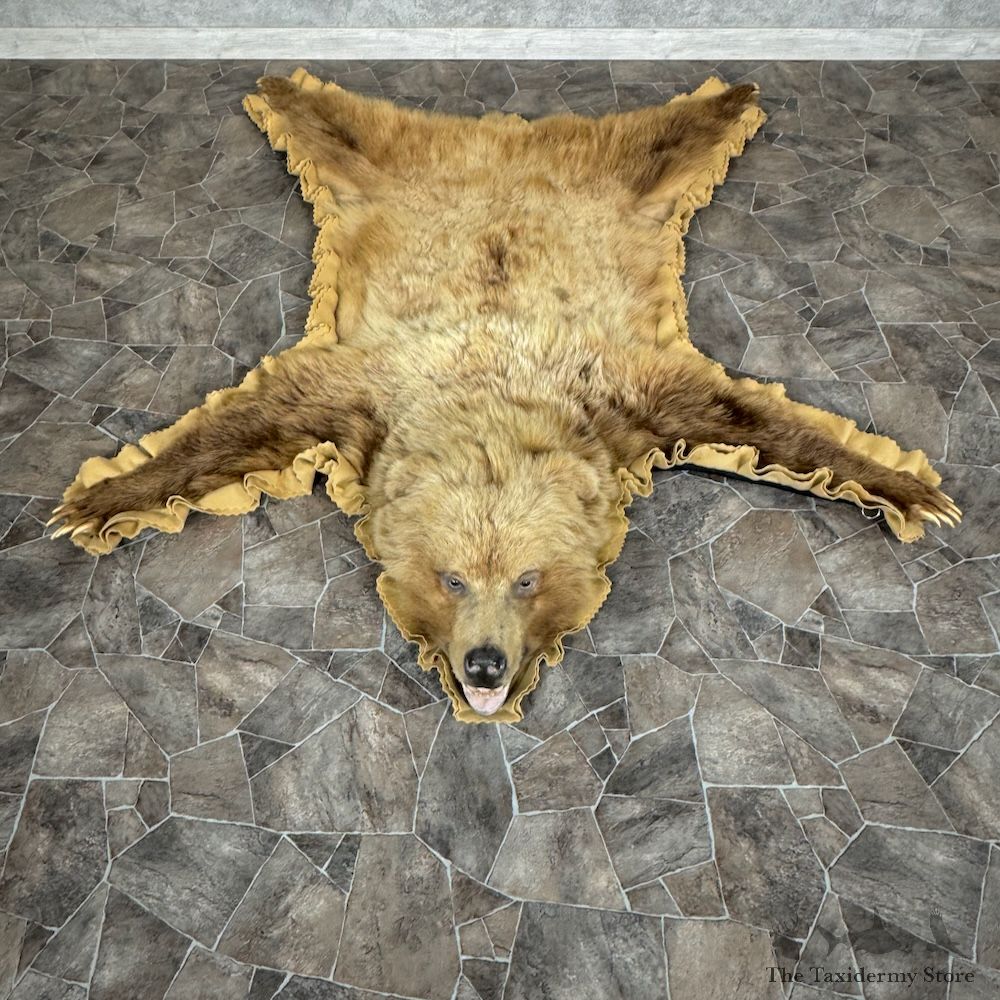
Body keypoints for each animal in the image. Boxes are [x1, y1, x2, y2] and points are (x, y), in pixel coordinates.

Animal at [50, 70, 959, 721]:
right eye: (452, 579)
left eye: (526, 579)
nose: (484, 663)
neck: (489, 399)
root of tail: (505, 143)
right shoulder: (363, 392)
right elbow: (239, 425)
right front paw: (106, 495)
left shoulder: (624, 393)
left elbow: (752, 416)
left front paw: (905, 483)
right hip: (389, 172)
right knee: (348, 127)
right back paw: (286, 90)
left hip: (614, 182)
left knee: (661, 138)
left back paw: (728, 98)